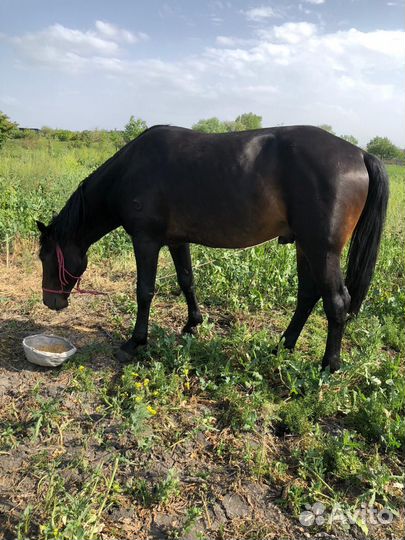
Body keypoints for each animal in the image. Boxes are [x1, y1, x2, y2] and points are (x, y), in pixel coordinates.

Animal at [35, 125, 388, 372]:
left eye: (45, 256)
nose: (50, 301)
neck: (131, 169)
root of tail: (360, 154)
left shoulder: (146, 240)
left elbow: (144, 291)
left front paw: (135, 342)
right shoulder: (176, 240)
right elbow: (187, 281)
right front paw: (193, 324)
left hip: (322, 250)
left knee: (336, 303)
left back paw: (329, 366)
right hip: (305, 247)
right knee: (307, 295)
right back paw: (282, 347)